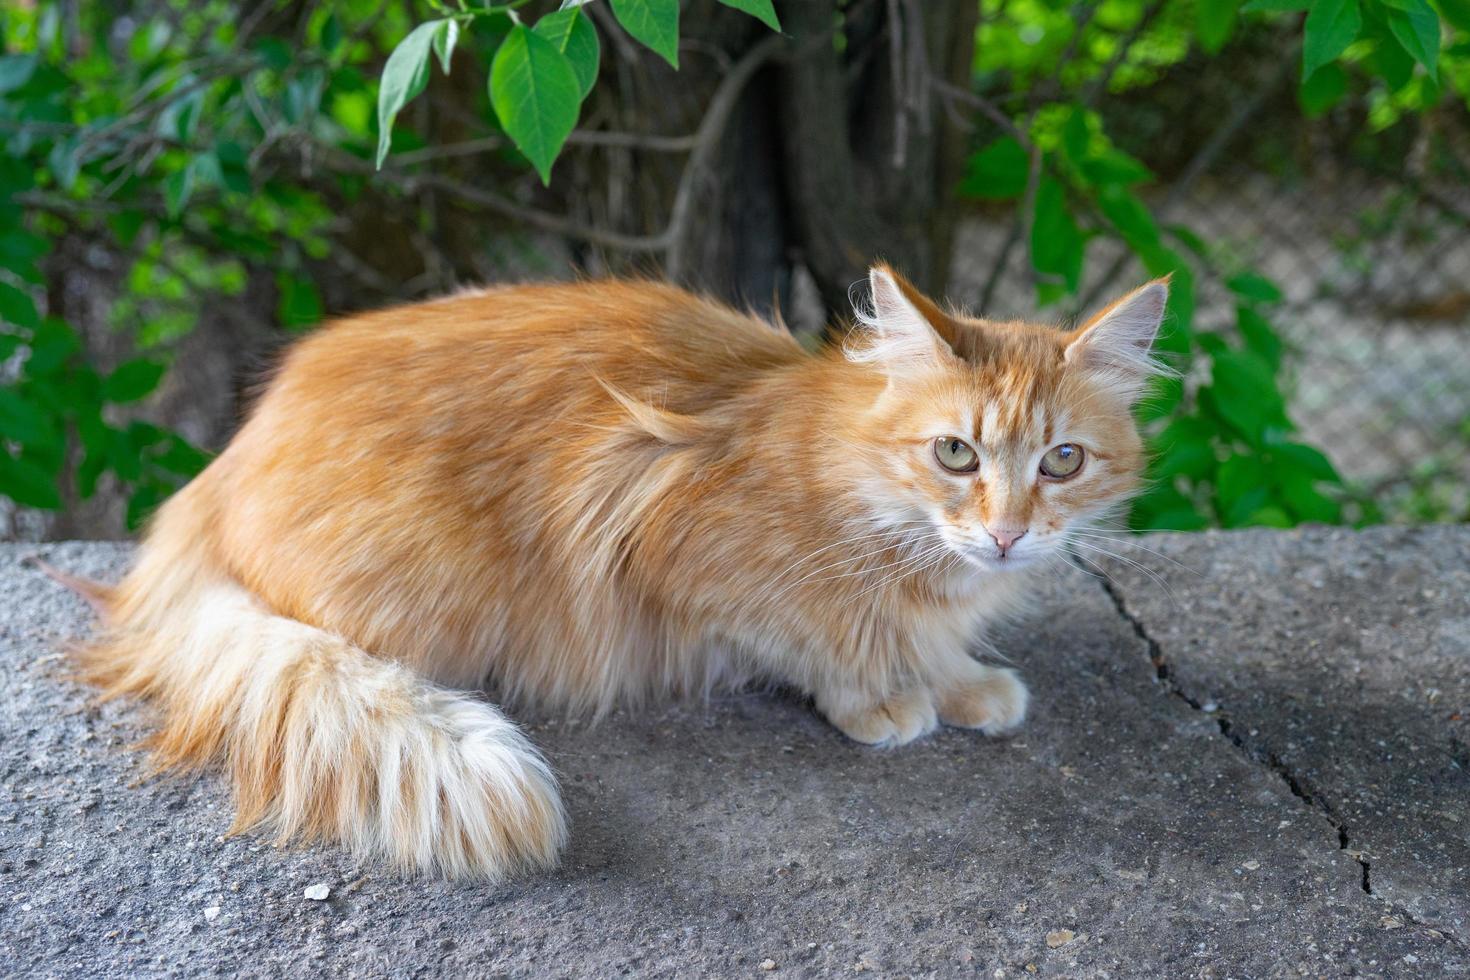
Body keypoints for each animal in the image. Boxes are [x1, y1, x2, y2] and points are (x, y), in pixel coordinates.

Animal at [57, 265, 1170, 881]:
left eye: (1062, 462)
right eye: (955, 454)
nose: (1008, 535)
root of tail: (221, 466)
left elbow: (927, 642)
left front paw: (961, 677)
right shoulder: (678, 548)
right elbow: (824, 639)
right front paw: (882, 698)